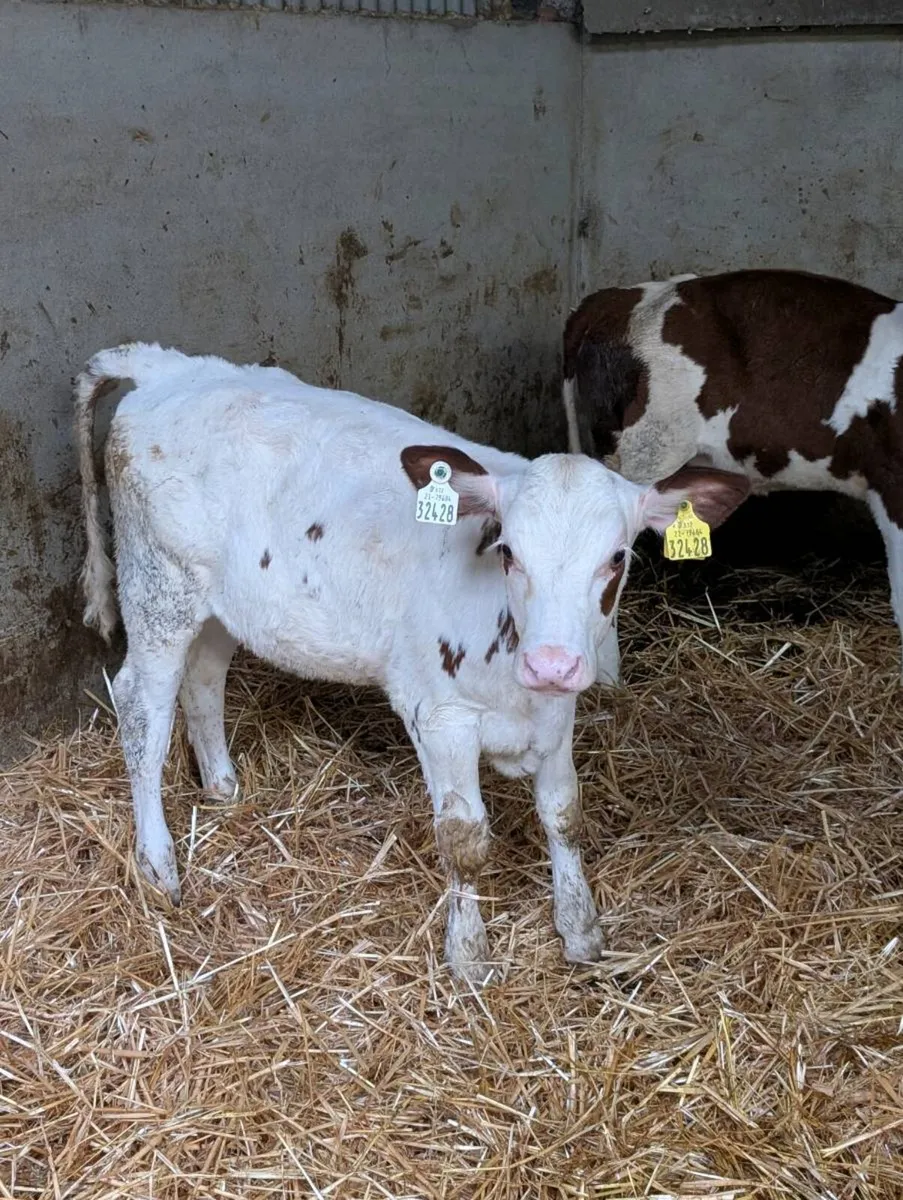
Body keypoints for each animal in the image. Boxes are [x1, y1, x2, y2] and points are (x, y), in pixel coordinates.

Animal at [74, 343, 747, 984]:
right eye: (509, 551)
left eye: (616, 558)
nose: (552, 663)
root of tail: (170, 366)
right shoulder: (440, 714)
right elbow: (465, 839)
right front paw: (469, 957)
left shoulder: (558, 715)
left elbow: (564, 816)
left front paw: (580, 931)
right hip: (157, 587)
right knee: (142, 707)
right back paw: (158, 864)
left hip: (224, 604)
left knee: (204, 681)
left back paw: (223, 787)